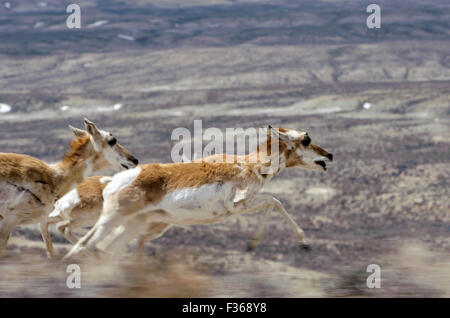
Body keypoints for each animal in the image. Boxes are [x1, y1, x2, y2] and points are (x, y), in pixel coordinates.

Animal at [66, 125, 334, 260]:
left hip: (135, 226)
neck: (247, 164)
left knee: (101, 248)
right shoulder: (238, 205)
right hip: (112, 221)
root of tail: (112, 181)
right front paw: (303, 243)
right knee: (82, 246)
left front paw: (252, 244)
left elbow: (273, 202)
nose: (329, 155)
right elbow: (274, 201)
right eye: (306, 139)